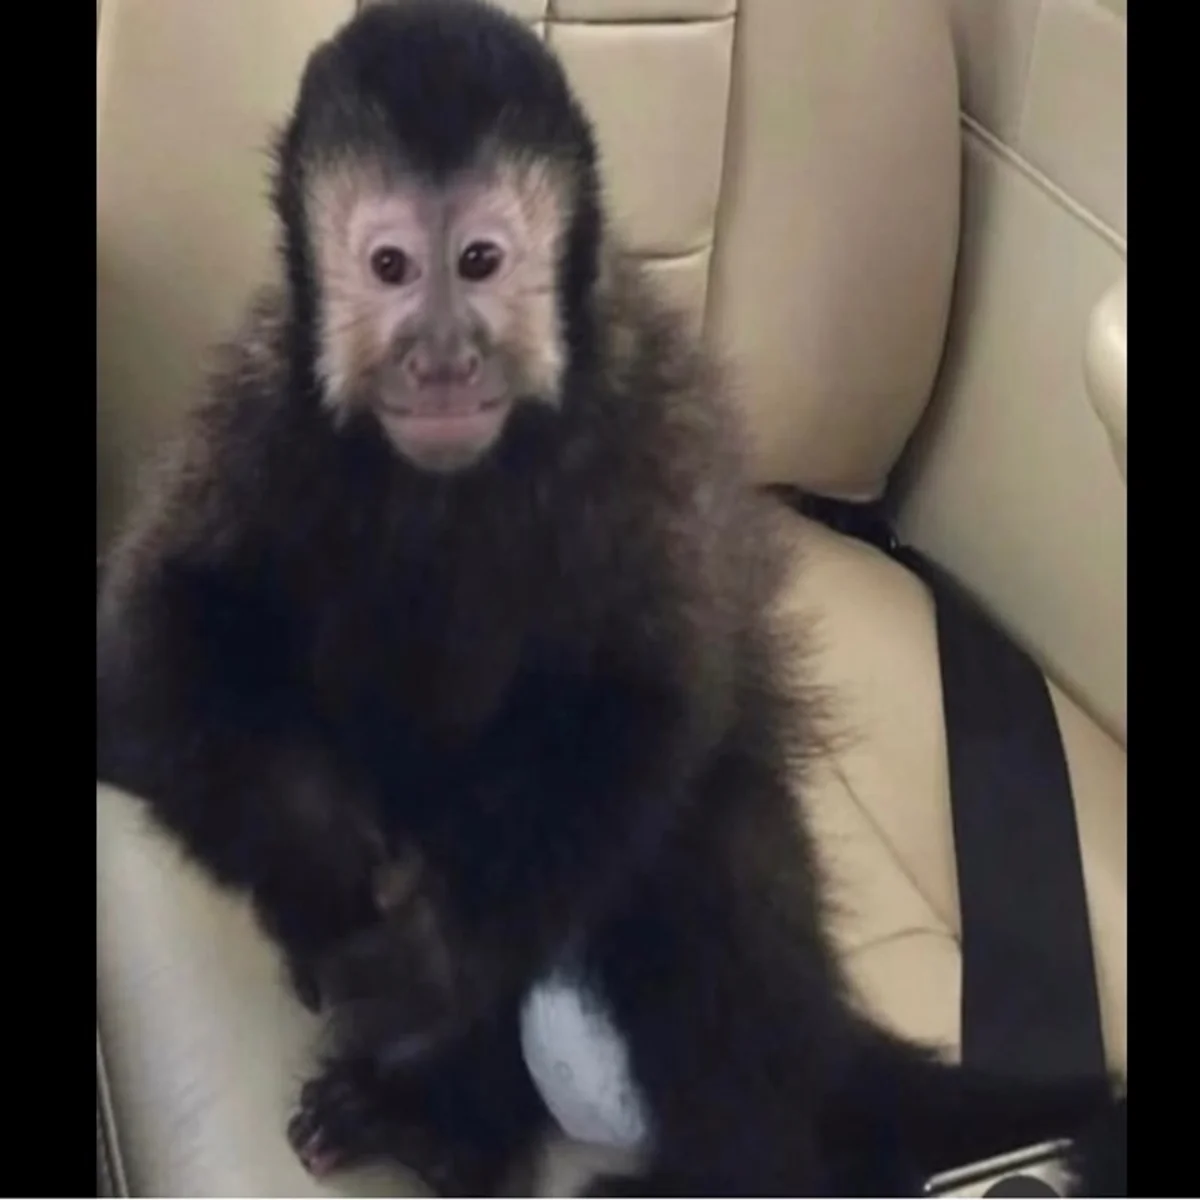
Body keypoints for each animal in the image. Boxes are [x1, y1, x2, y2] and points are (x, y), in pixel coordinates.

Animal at [95, 0, 1126, 1194]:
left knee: (706, 851)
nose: (442, 356)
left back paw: (679, 1151)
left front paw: (437, 951)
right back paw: (452, 1115)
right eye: (391, 266)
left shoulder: (645, 416)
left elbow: (649, 704)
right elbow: (158, 638)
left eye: (481, 261)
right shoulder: (261, 404)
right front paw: (325, 873)